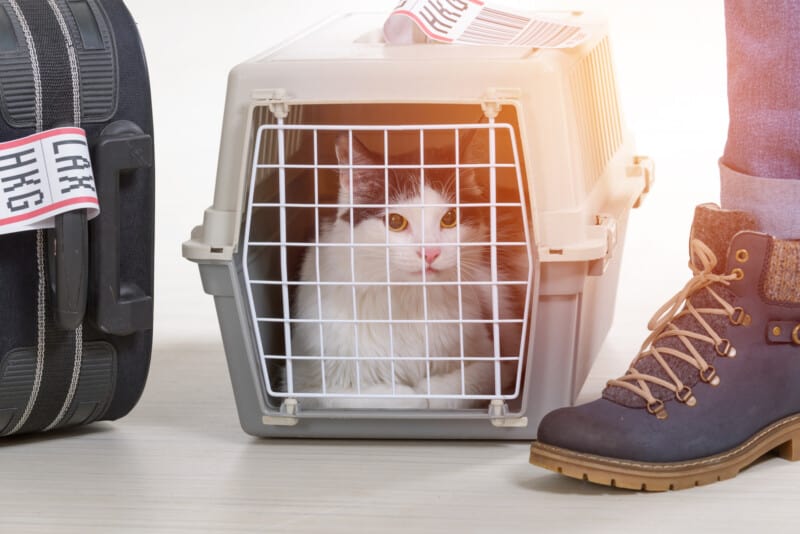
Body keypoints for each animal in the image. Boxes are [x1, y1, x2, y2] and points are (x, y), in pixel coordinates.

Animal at [288, 134, 524, 410]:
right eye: (395, 222)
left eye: (450, 218)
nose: (430, 252)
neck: (409, 301)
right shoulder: (303, 385)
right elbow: (402, 399)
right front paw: (412, 393)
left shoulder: (497, 362)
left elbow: (447, 392)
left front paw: (428, 389)